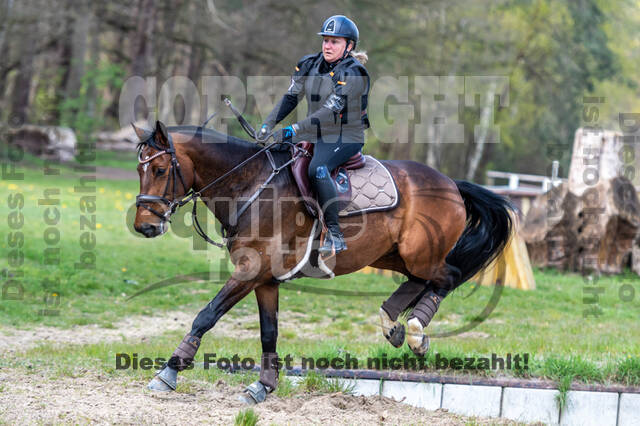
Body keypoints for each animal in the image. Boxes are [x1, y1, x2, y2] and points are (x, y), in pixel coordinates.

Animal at [132, 119, 512, 402]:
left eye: (161, 169)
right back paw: (391, 321)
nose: (144, 226)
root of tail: (451, 184)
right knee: (422, 280)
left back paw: (416, 331)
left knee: (448, 276)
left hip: (421, 255)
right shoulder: (264, 279)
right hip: (393, 256)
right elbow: (268, 331)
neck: (251, 185)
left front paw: (169, 371)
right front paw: (263, 386)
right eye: (140, 170)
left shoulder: (251, 270)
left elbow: (206, 315)